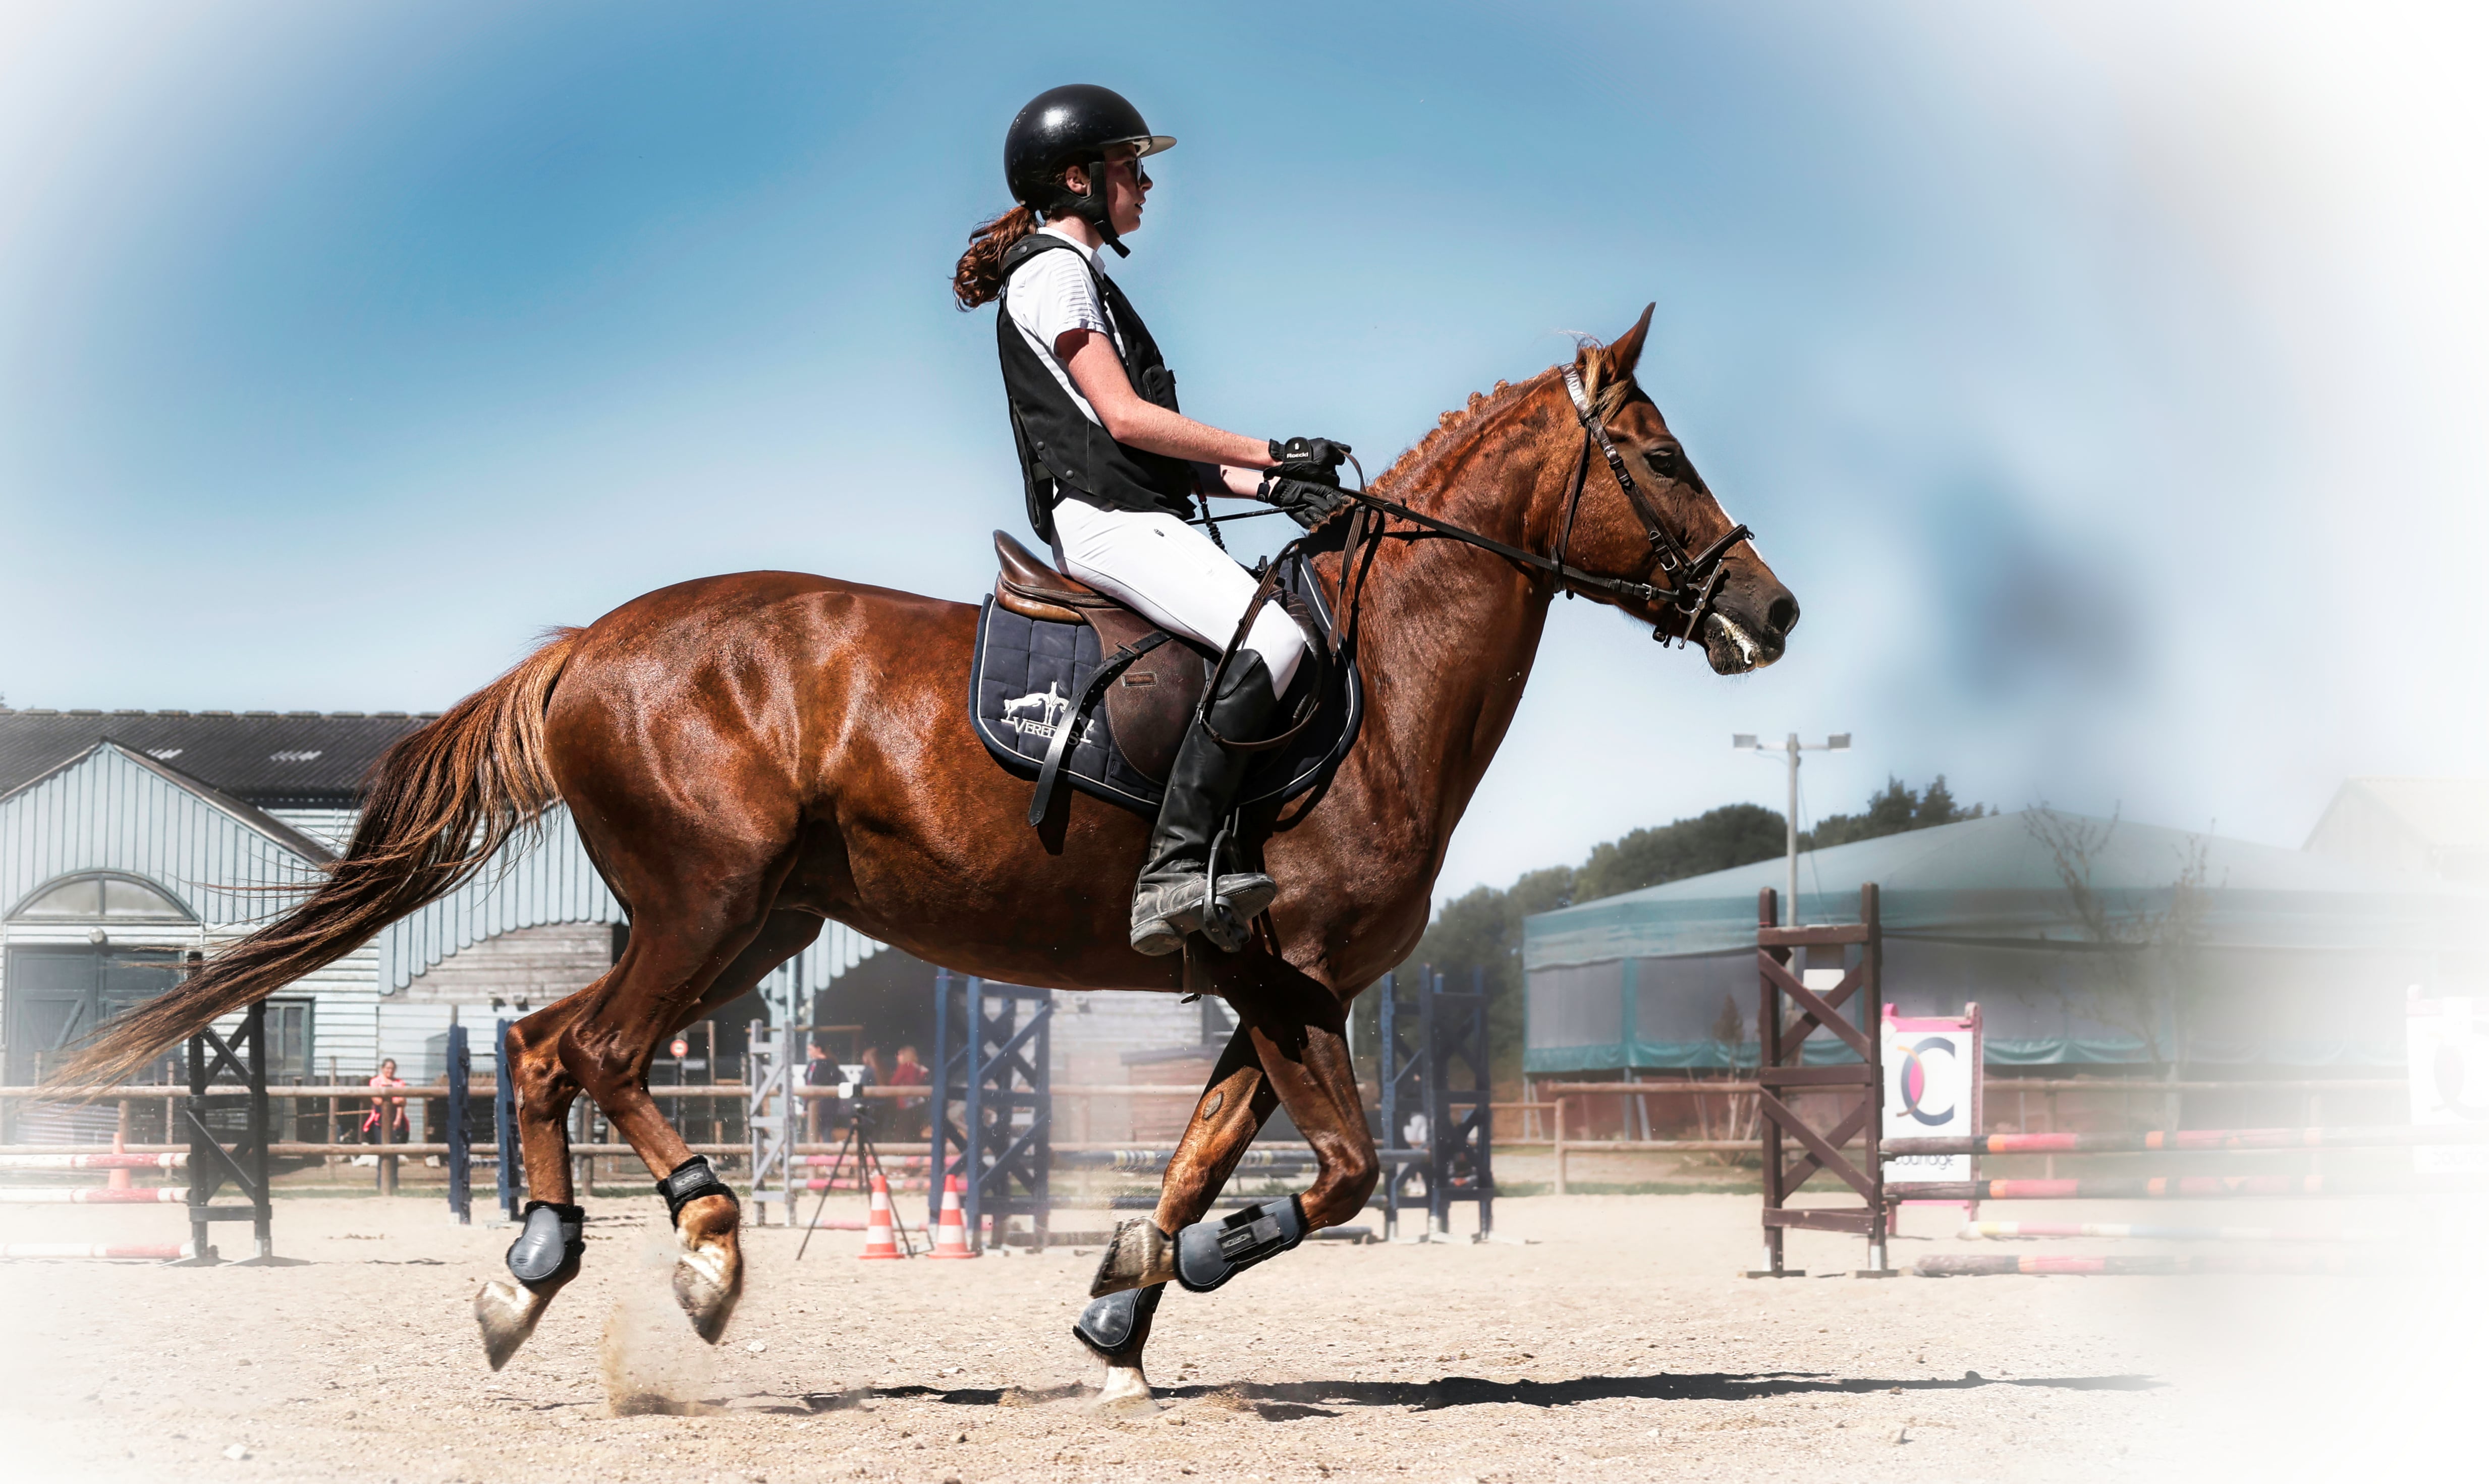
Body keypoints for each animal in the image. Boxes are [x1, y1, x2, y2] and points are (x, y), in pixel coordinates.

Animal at [68, 307, 1802, 1394]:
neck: (1379, 676)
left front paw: (1122, 1295)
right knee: (601, 1047)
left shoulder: (1264, 989)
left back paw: (533, 1262)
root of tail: (585, 646)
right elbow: (1345, 1170)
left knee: (543, 1038)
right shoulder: (1284, 971)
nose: (1770, 608)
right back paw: (702, 1241)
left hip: (747, 922)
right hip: (705, 904)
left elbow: (1213, 1152)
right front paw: (1182, 1265)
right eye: (1657, 458)